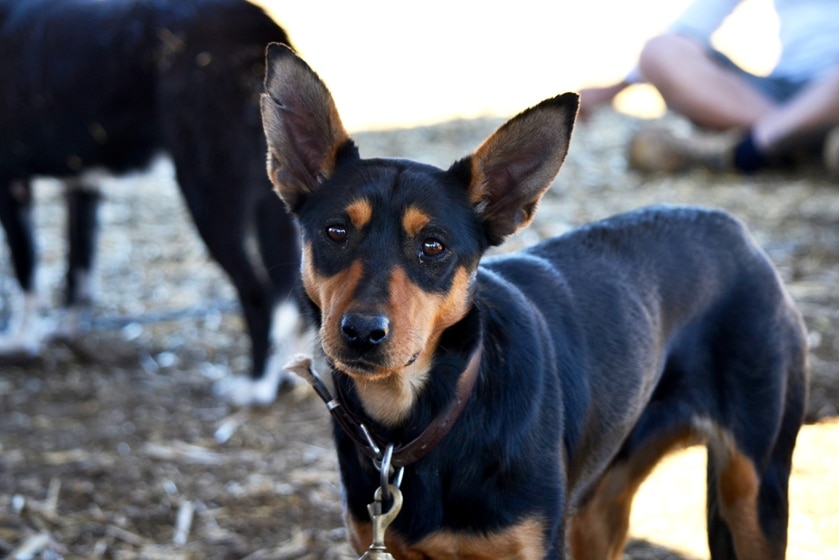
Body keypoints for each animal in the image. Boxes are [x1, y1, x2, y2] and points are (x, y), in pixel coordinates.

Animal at [260, 44, 808, 560]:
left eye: (433, 246)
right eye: (335, 232)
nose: (362, 333)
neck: (419, 417)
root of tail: (736, 229)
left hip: (755, 491)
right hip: (601, 501)